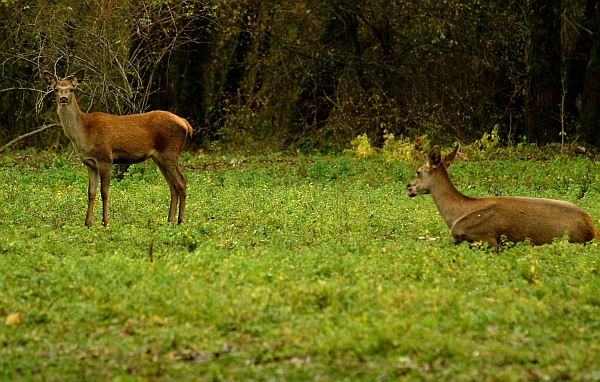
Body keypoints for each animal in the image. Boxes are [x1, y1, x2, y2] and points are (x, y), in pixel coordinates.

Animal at [44, 69, 192, 227]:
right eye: (56, 89)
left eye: (72, 89)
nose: (63, 98)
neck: (84, 133)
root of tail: (185, 124)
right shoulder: (90, 163)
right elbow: (91, 192)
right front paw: (87, 223)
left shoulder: (105, 159)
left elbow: (104, 191)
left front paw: (105, 221)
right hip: (160, 158)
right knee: (172, 186)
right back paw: (170, 220)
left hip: (170, 153)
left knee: (181, 182)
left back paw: (181, 220)